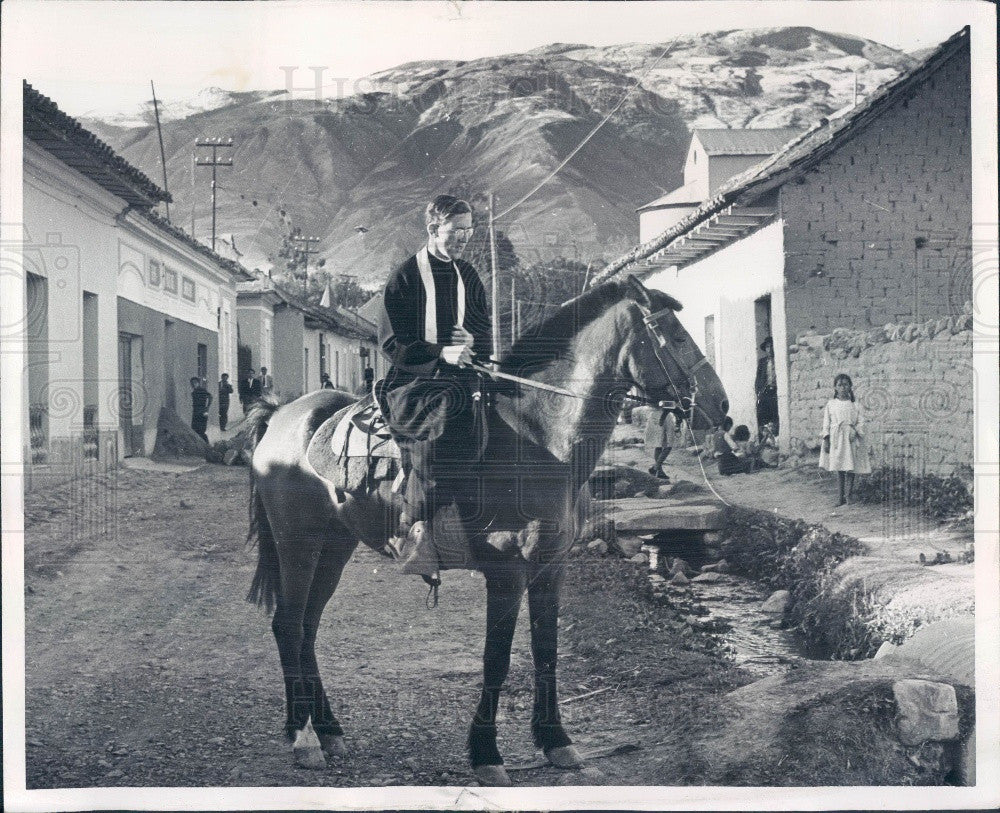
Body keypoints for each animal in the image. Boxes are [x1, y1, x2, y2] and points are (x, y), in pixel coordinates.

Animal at [242, 274, 728, 788]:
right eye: (675, 335)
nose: (720, 405)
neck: (536, 440)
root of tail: (280, 417)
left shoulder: (551, 566)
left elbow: (546, 649)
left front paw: (556, 741)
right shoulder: (506, 571)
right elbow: (497, 658)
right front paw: (486, 753)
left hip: (335, 545)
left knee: (307, 628)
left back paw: (328, 728)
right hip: (299, 543)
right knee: (288, 624)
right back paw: (303, 737)